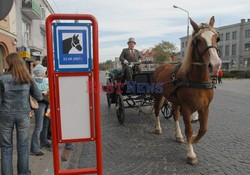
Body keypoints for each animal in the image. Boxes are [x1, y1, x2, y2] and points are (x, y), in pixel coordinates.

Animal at [153, 16, 222, 164]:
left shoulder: (205, 108)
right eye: (198, 40)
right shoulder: (186, 108)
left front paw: (195, 139)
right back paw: (158, 128)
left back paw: (178, 135)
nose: (215, 65)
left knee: (175, 115)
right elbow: (189, 130)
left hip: (174, 100)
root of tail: (161, 66)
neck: (198, 81)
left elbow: (203, 129)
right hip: (158, 96)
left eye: (217, 38)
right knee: (156, 111)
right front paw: (191, 154)